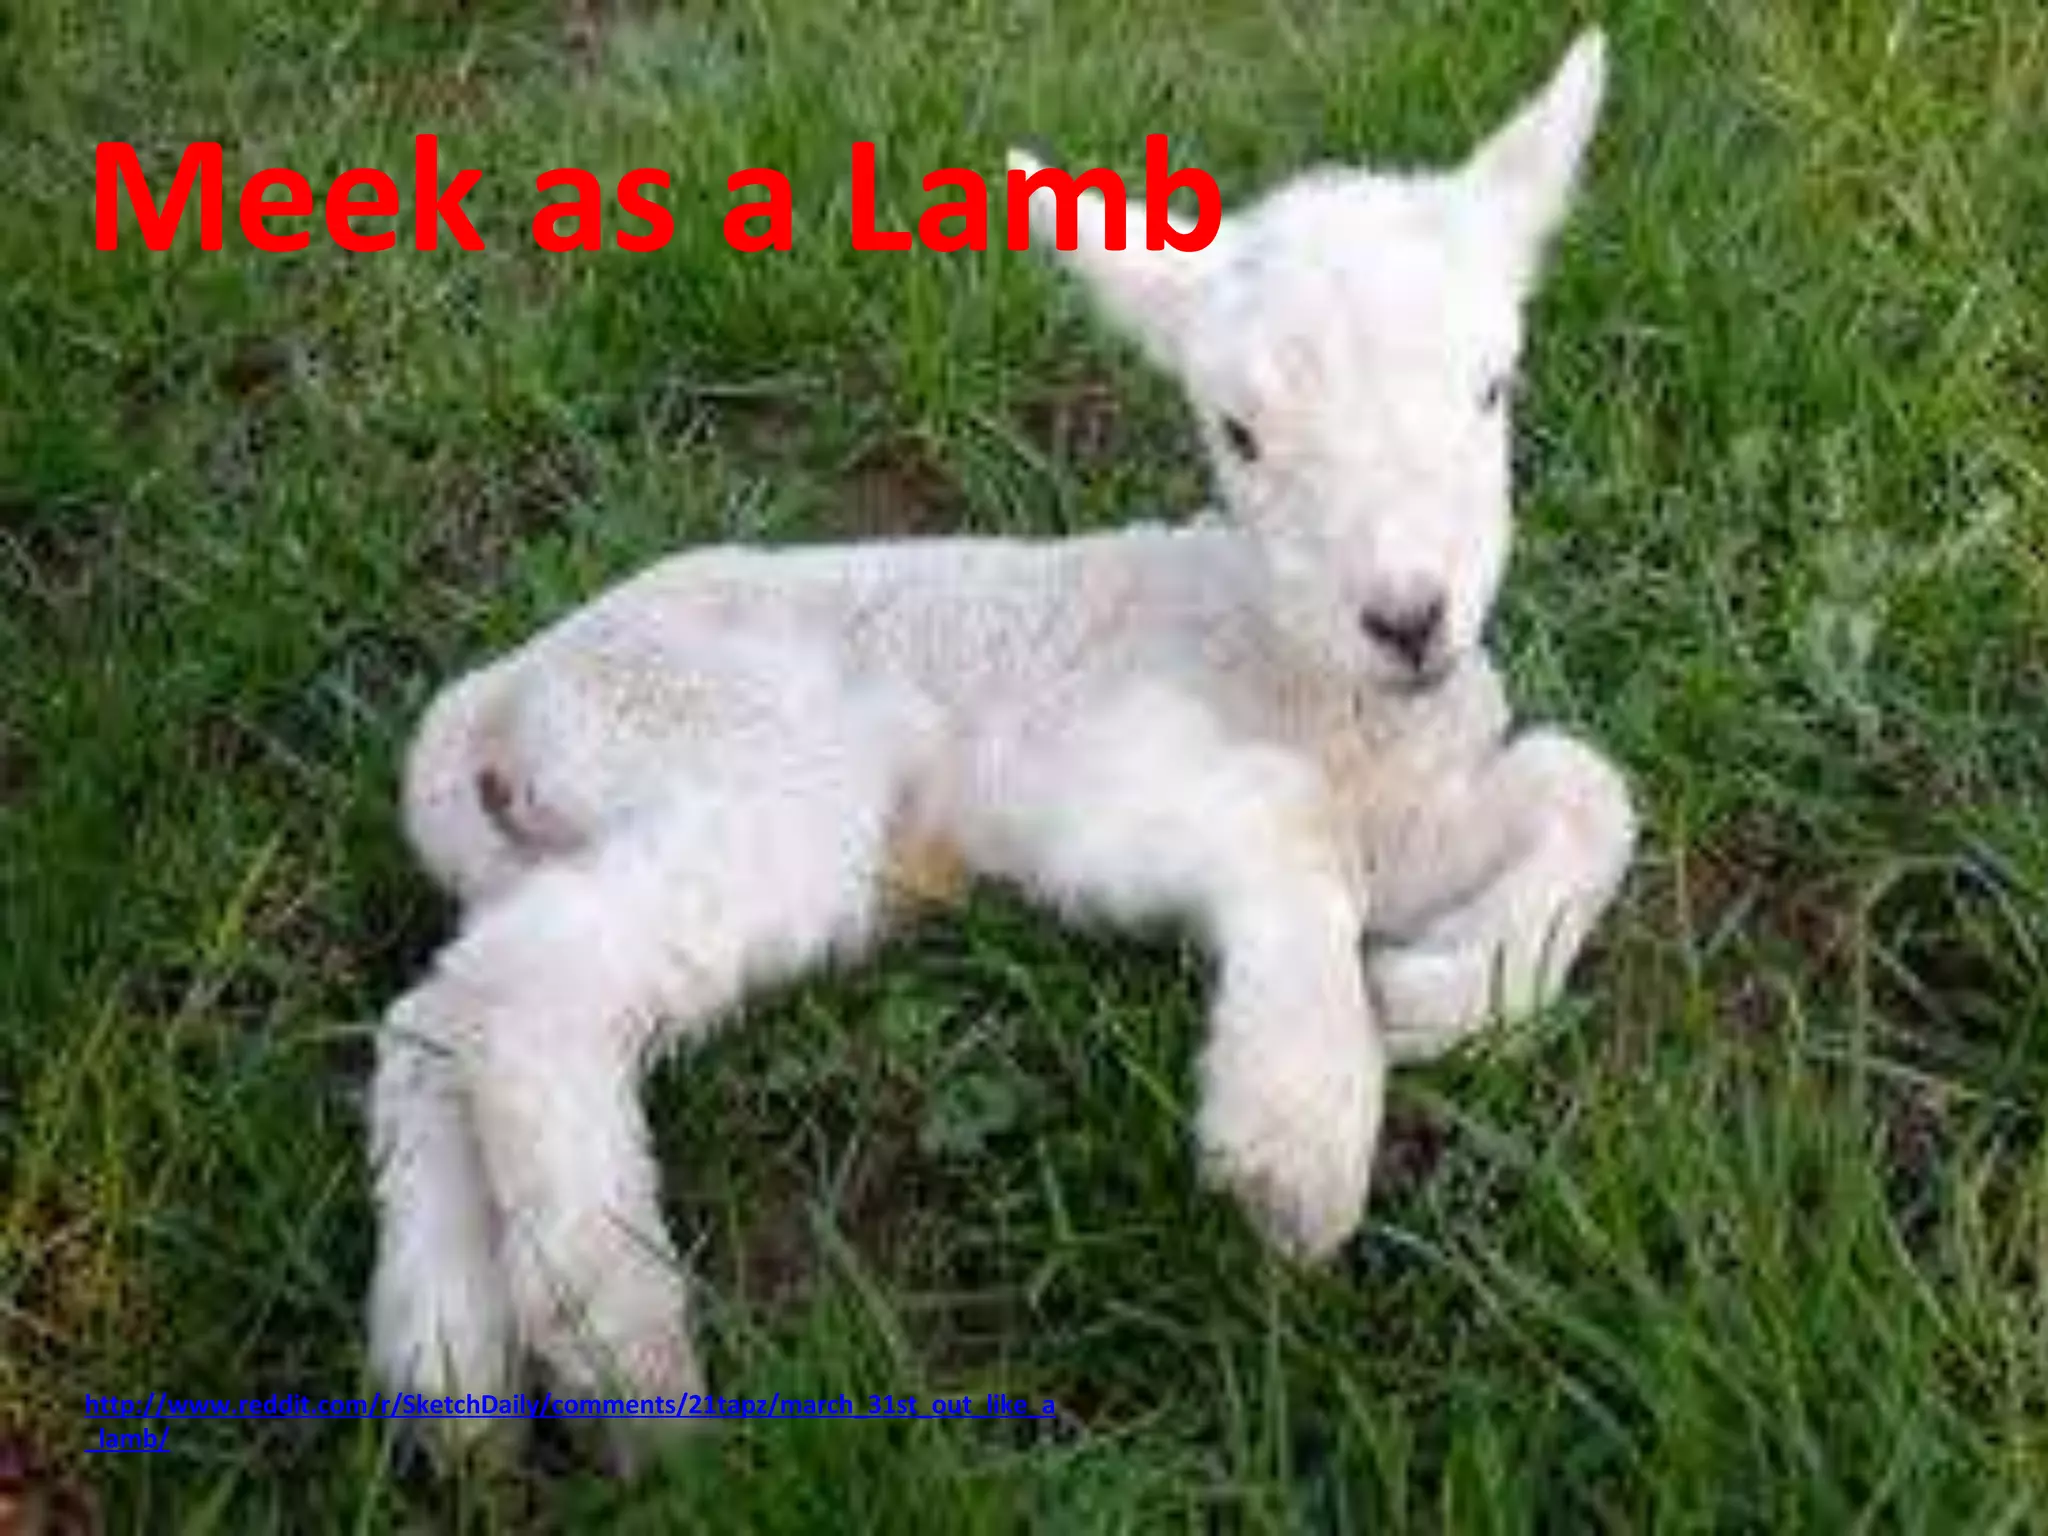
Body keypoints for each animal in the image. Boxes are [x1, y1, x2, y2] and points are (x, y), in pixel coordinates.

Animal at [366, 29, 1637, 1457]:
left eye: (1492, 387)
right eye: (1237, 433)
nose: (1409, 617)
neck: (1307, 682)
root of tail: (501, 695)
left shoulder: (1414, 810)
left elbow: (1583, 787)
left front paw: (1435, 999)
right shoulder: (1081, 771)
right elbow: (1288, 821)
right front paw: (1296, 1127)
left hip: (584, 828)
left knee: (435, 1014)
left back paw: (449, 1375)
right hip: (747, 768)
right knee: (527, 991)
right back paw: (621, 1360)